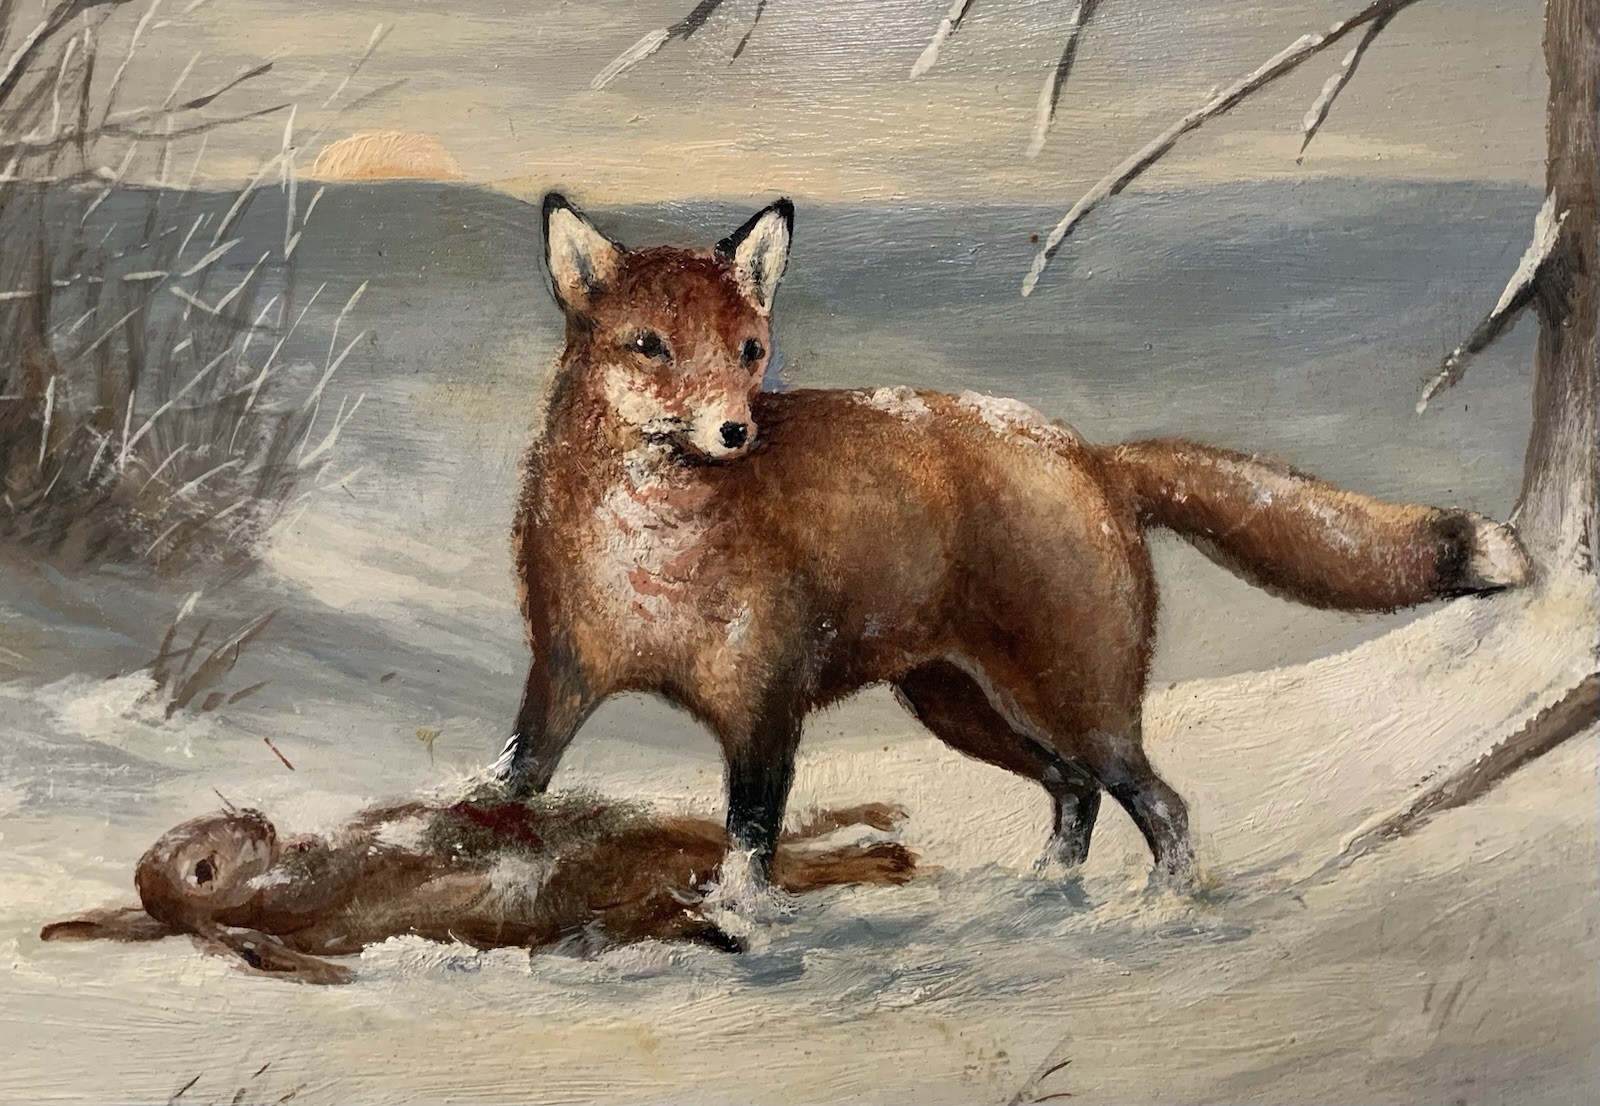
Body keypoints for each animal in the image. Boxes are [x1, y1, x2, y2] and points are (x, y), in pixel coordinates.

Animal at [492, 192, 1532, 892]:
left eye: (749, 352)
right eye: (651, 346)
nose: (735, 431)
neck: (649, 557)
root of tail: (1088, 452)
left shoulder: (764, 710)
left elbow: (750, 851)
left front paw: (740, 929)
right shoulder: (563, 675)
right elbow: (512, 789)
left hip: (1074, 704)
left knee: (1160, 806)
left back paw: (1161, 911)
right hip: (962, 707)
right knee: (1074, 795)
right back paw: (1047, 900)